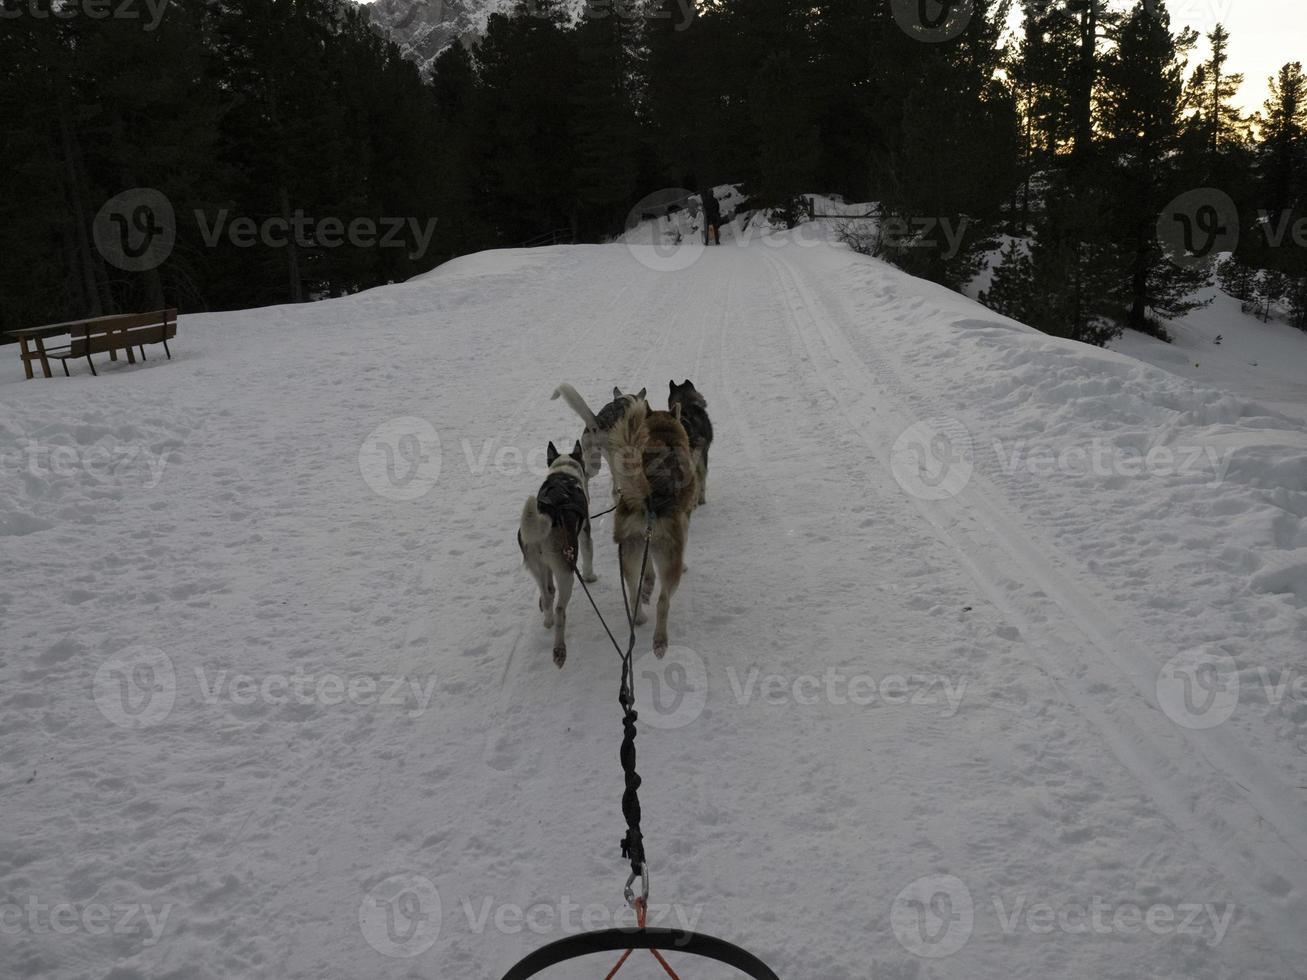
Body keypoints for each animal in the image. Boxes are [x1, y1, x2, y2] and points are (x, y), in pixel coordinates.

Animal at [514, 444, 598, 669]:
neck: (564, 473)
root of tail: (548, 511)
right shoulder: (585, 533)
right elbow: (589, 555)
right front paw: (590, 577)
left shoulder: (547, 568)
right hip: (566, 572)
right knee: (560, 609)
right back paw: (559, 649)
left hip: (537, 566)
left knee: (547, 595)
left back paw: (547, 620)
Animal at [606, 399, 700, 661]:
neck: (663, 434)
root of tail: (649, 498)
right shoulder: (685, 522)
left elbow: (647, 571)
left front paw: (647, 582)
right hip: (669, 564)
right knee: (663, 601)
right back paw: (660, 640)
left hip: (629, 551)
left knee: (632, 591)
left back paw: (639, 615)